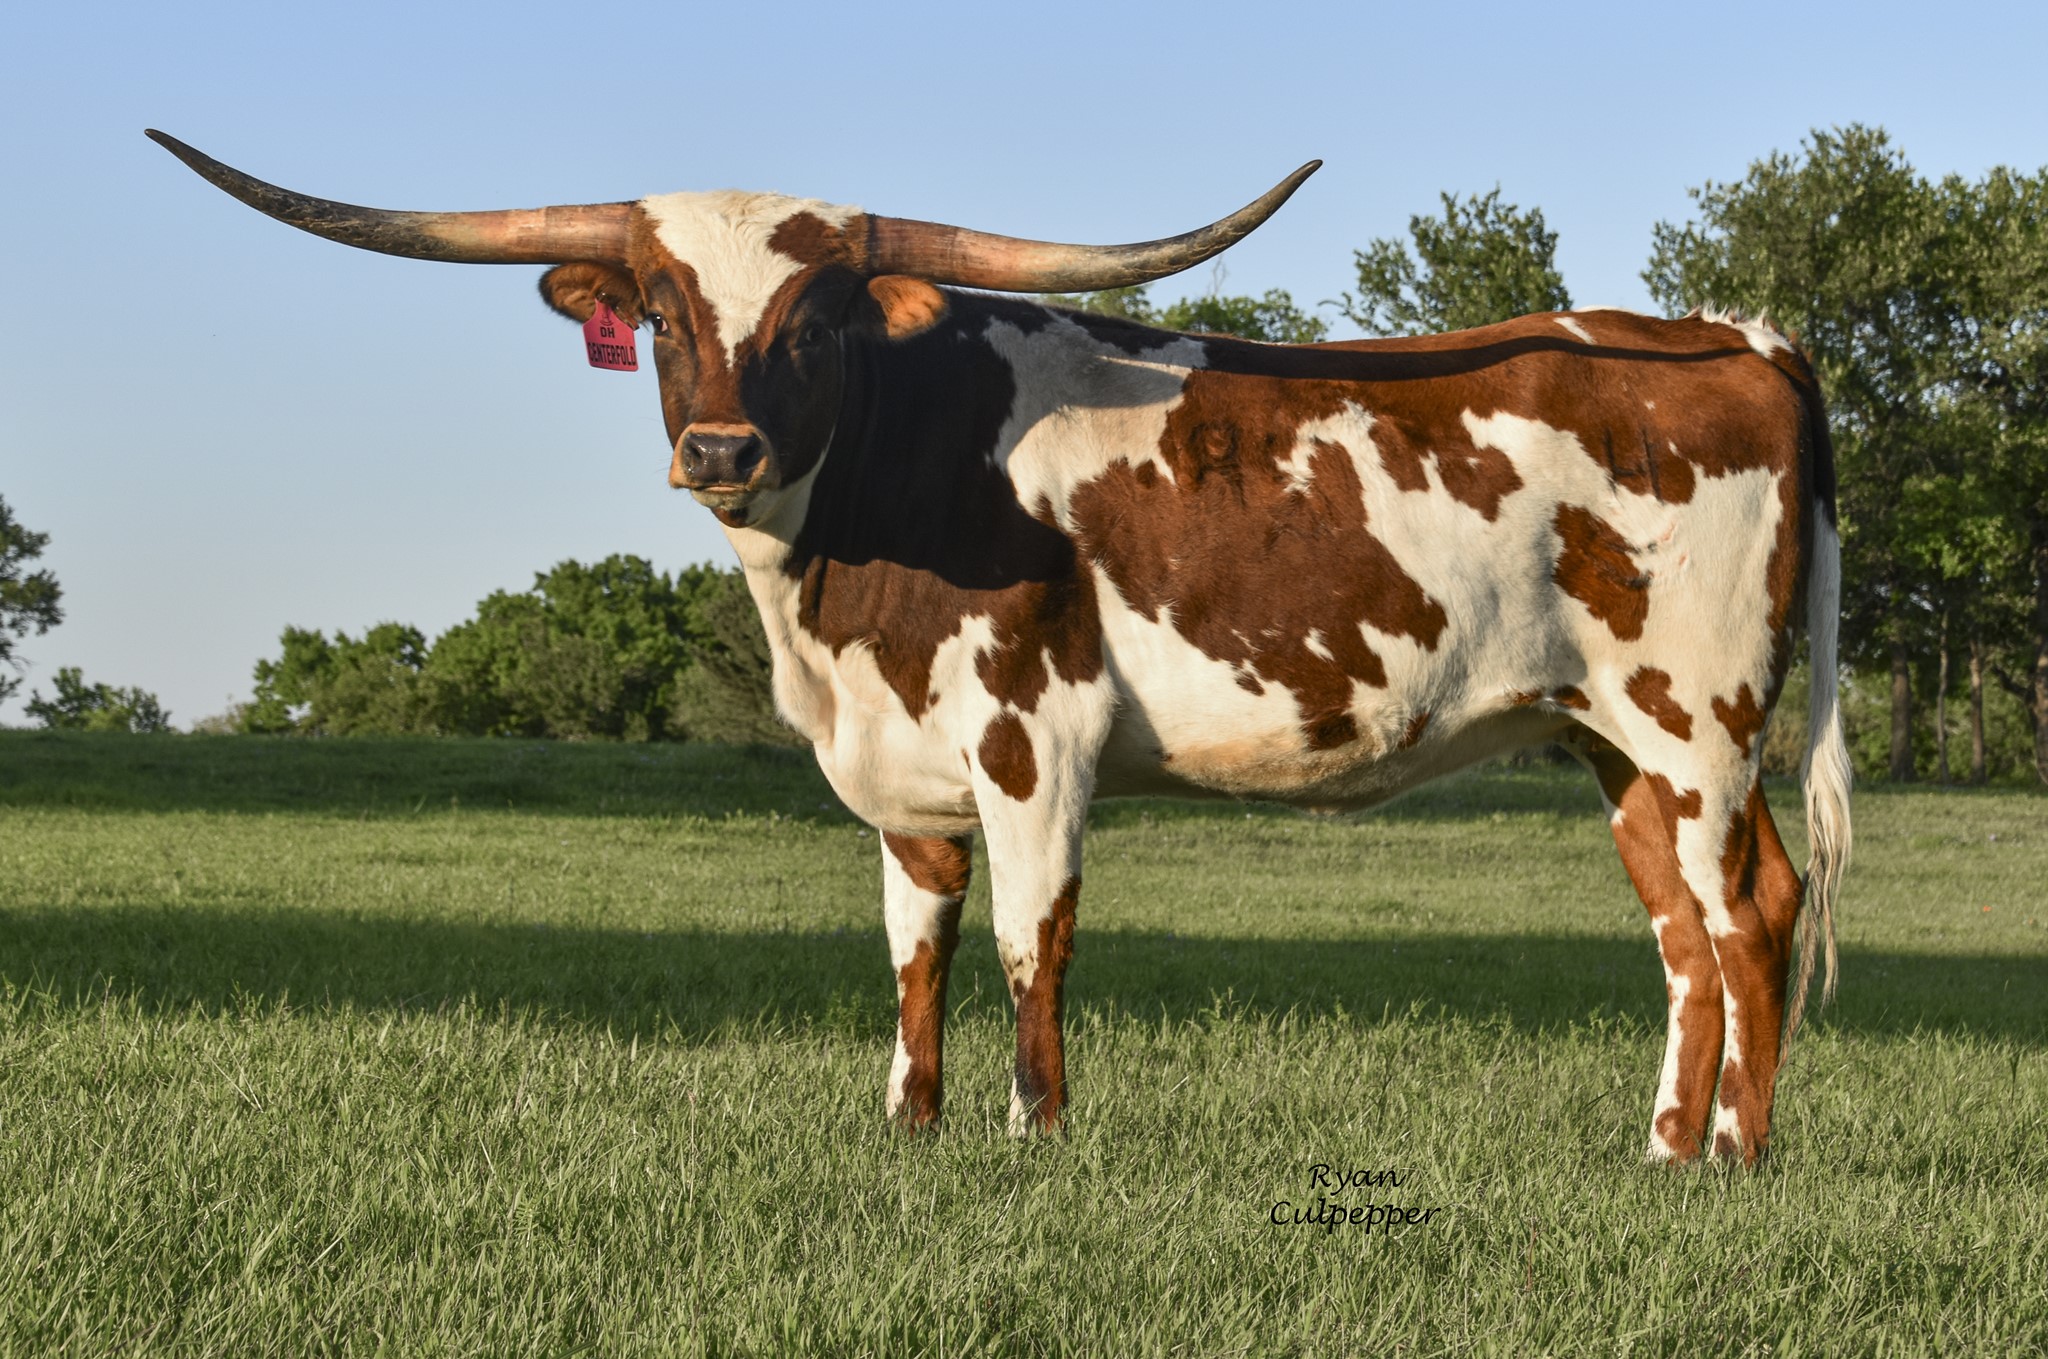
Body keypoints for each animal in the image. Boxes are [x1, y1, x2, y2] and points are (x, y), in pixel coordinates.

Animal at [150, 130, 1850, 1165]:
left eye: (815, 319)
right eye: (662, 310)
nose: (718, 448)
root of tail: (1732, 335)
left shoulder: (1038, 737)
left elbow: (1035, 938)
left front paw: (1036, 1136)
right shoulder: (905, 771)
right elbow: (919, 948)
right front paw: (910, 1128)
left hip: (1699, 718)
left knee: (1748, 908)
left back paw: (1742, 1156)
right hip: (1609, 737)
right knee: (1681, 931)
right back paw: (1663, 1149)